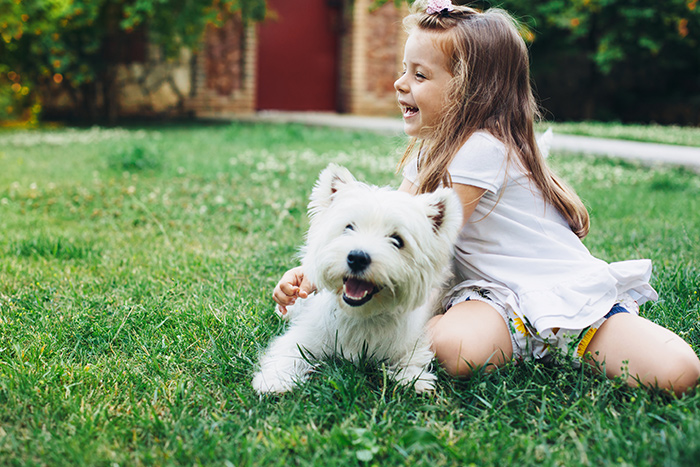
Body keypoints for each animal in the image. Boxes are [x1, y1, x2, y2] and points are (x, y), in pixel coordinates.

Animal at [253, 165, 464, 394]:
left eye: (397, 240)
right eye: (348, 227)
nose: (357, 258)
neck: (361, 315)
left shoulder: (410, 341)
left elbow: (412, 359)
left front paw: (414, 379)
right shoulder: (306, 335)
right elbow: (289, 351)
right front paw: (274, 380)